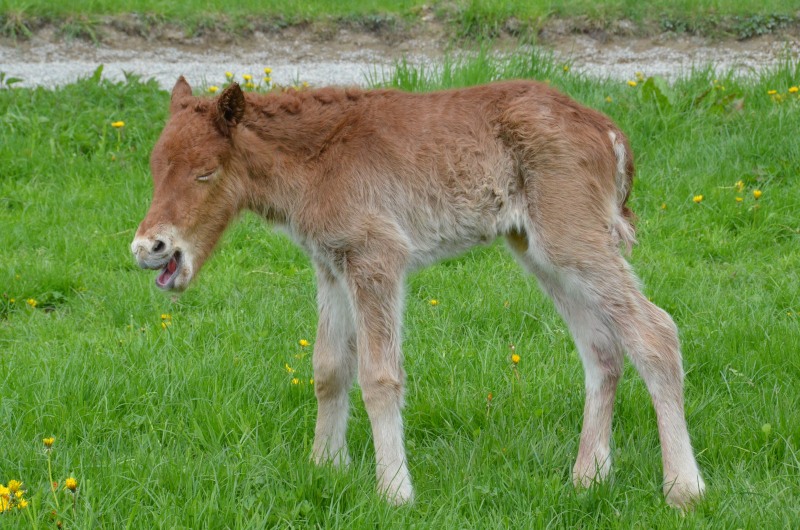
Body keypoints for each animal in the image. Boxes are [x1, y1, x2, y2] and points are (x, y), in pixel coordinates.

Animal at [131, 76, 705, 508]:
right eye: (155, 167)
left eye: (206, 172)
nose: (149, 247)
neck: (317, 161)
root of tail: (608, 131)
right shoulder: (331, 265)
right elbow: (329, 367)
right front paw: (326, 468)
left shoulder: (377, 257)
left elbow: (379, 376)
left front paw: (394, 491)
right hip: (540, 250)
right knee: (603, 347)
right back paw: (588, 477)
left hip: (571, 240)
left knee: (656, 331)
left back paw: (683, 488)